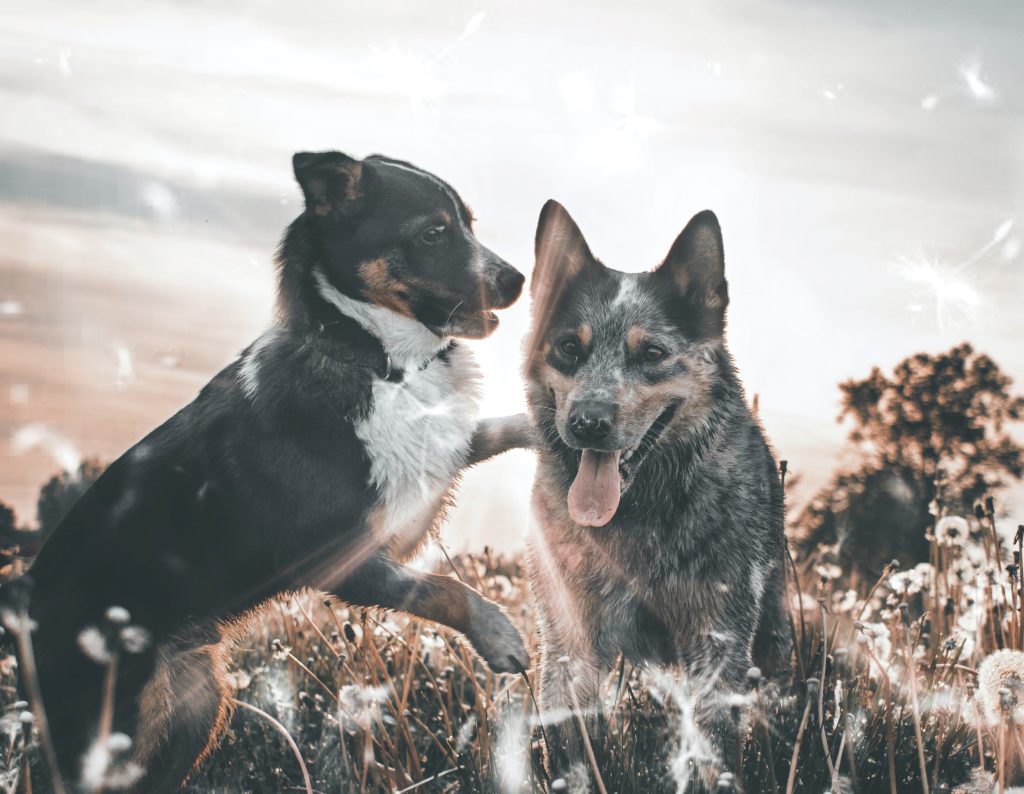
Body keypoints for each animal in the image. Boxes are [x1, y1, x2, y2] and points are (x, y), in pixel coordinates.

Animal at [19, 152, 532, 790]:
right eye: (433, 233)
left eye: (469, 224)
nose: (517, 280)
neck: (374, 356)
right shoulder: (344, 558)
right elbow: (445, 589)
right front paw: (501, 634)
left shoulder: (419, 480)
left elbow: (497, 429)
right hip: (114, 728)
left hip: (193, 703)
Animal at [524, 200, 786, 786]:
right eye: (569, 347)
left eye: (652, 353)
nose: (588, 423)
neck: (638, 514)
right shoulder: (569, 646)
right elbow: (573, 753)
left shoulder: (718, 645)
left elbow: (712, 753)